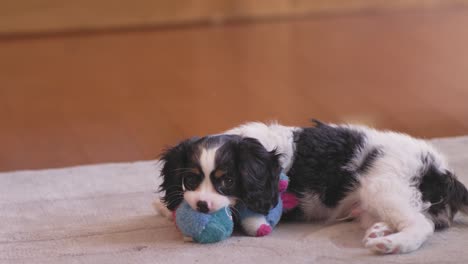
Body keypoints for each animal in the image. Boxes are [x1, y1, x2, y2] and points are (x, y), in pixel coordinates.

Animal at [157, 121, 468, 254]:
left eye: (228, 181)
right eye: (190, 180)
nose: (201, 206)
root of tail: (441, 169)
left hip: (384, 187)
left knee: (423, 224)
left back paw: (392, 244)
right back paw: (379, 230)